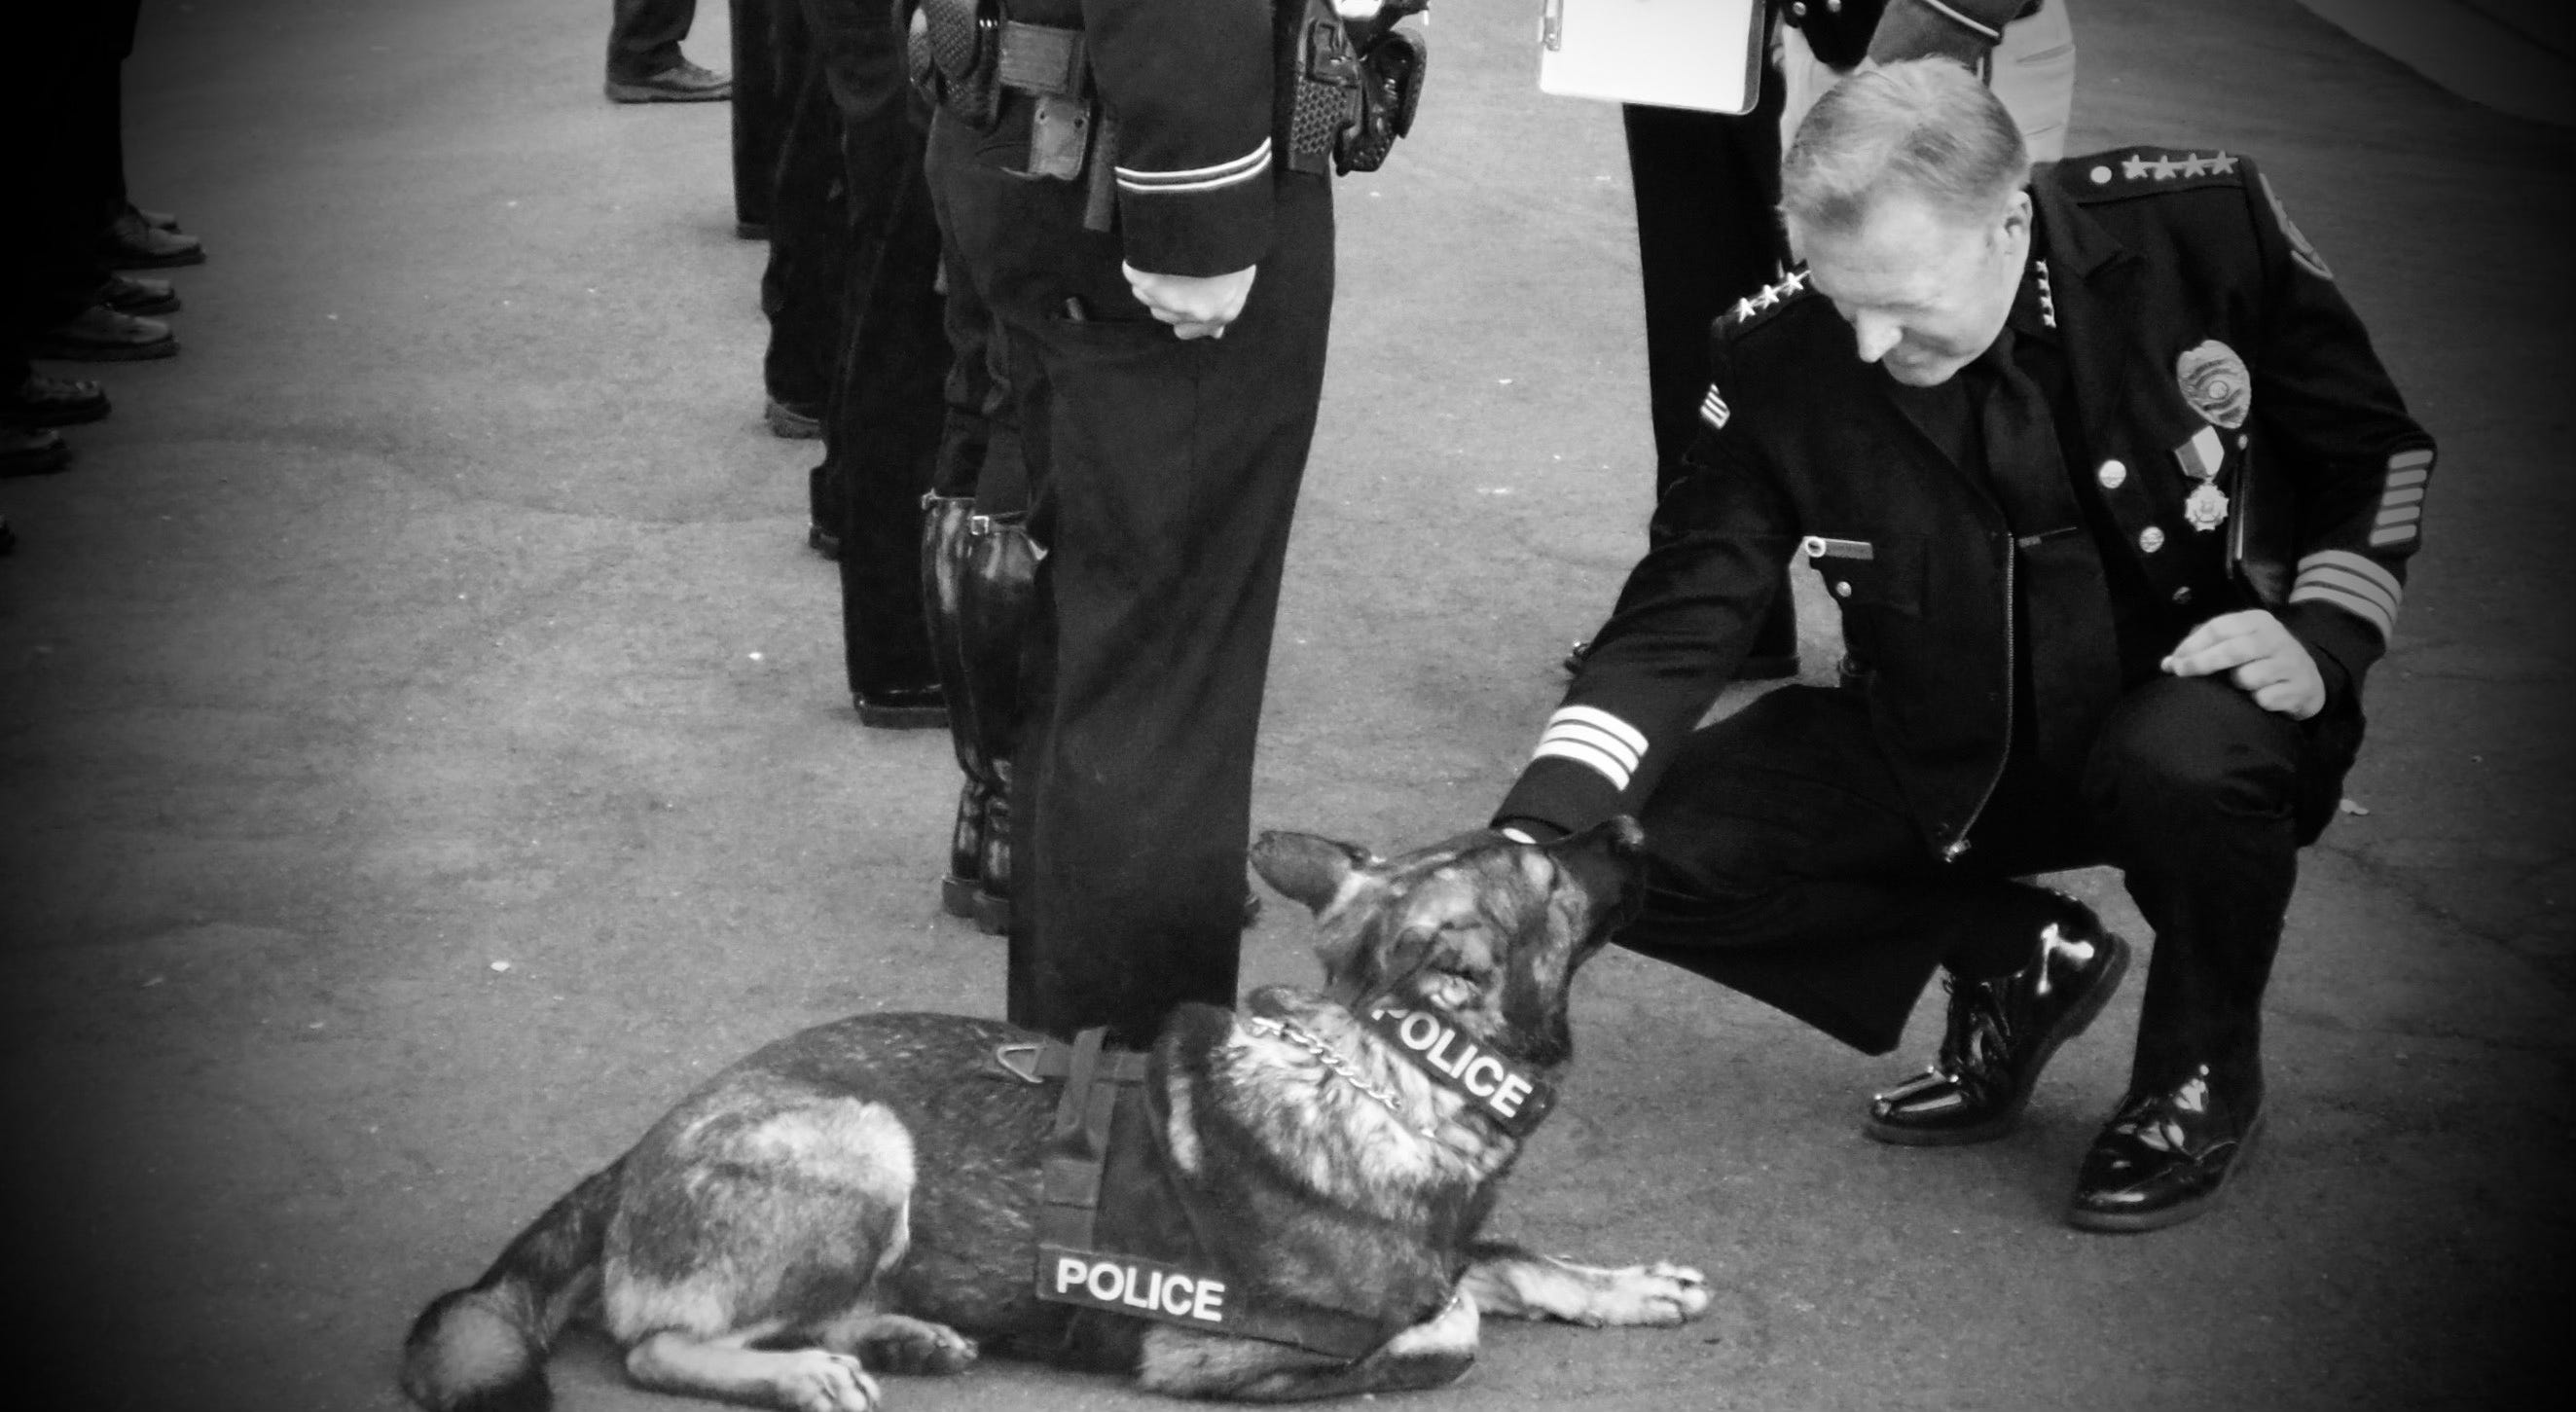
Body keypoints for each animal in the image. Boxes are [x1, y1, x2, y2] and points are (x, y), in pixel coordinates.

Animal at [400, 817, 1711, 1410]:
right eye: (1549, 872)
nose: (1634, 823)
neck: (1381, 1074)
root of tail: (636, 1150)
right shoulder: (1214, 1351)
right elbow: (1449, 1329)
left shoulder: (1453, 1237)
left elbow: (1513, 1257)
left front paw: (1629, 1283)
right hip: (865, 1143)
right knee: (653, 1342)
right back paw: (804, 1370)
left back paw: (896, 1335)